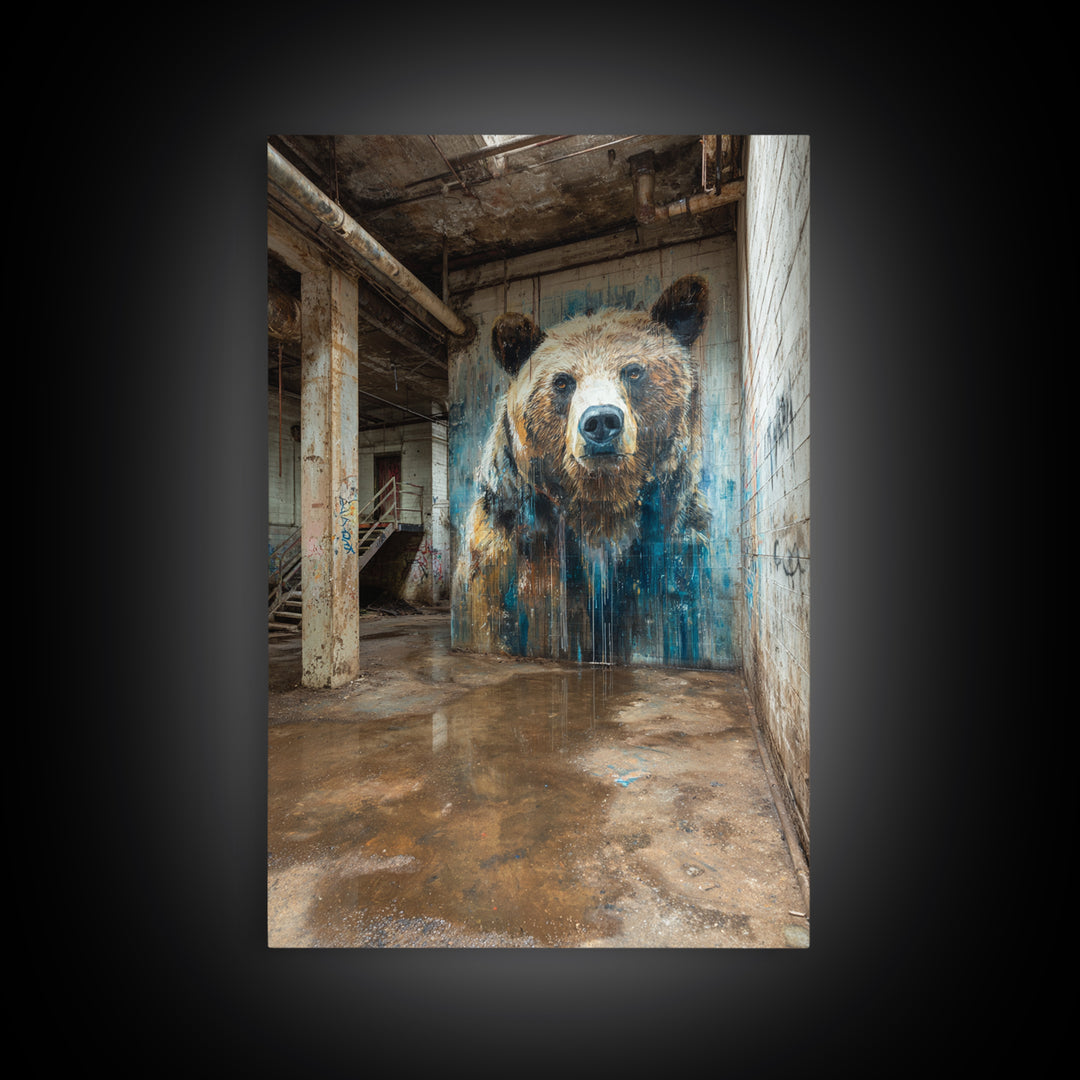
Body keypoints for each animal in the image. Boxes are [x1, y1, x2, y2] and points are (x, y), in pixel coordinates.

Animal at [453, 274, 712, 666]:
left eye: (633, 370)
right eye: (562, 381)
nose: (601, 421)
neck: (600, 509)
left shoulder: (673, 553)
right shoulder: (512, 548)